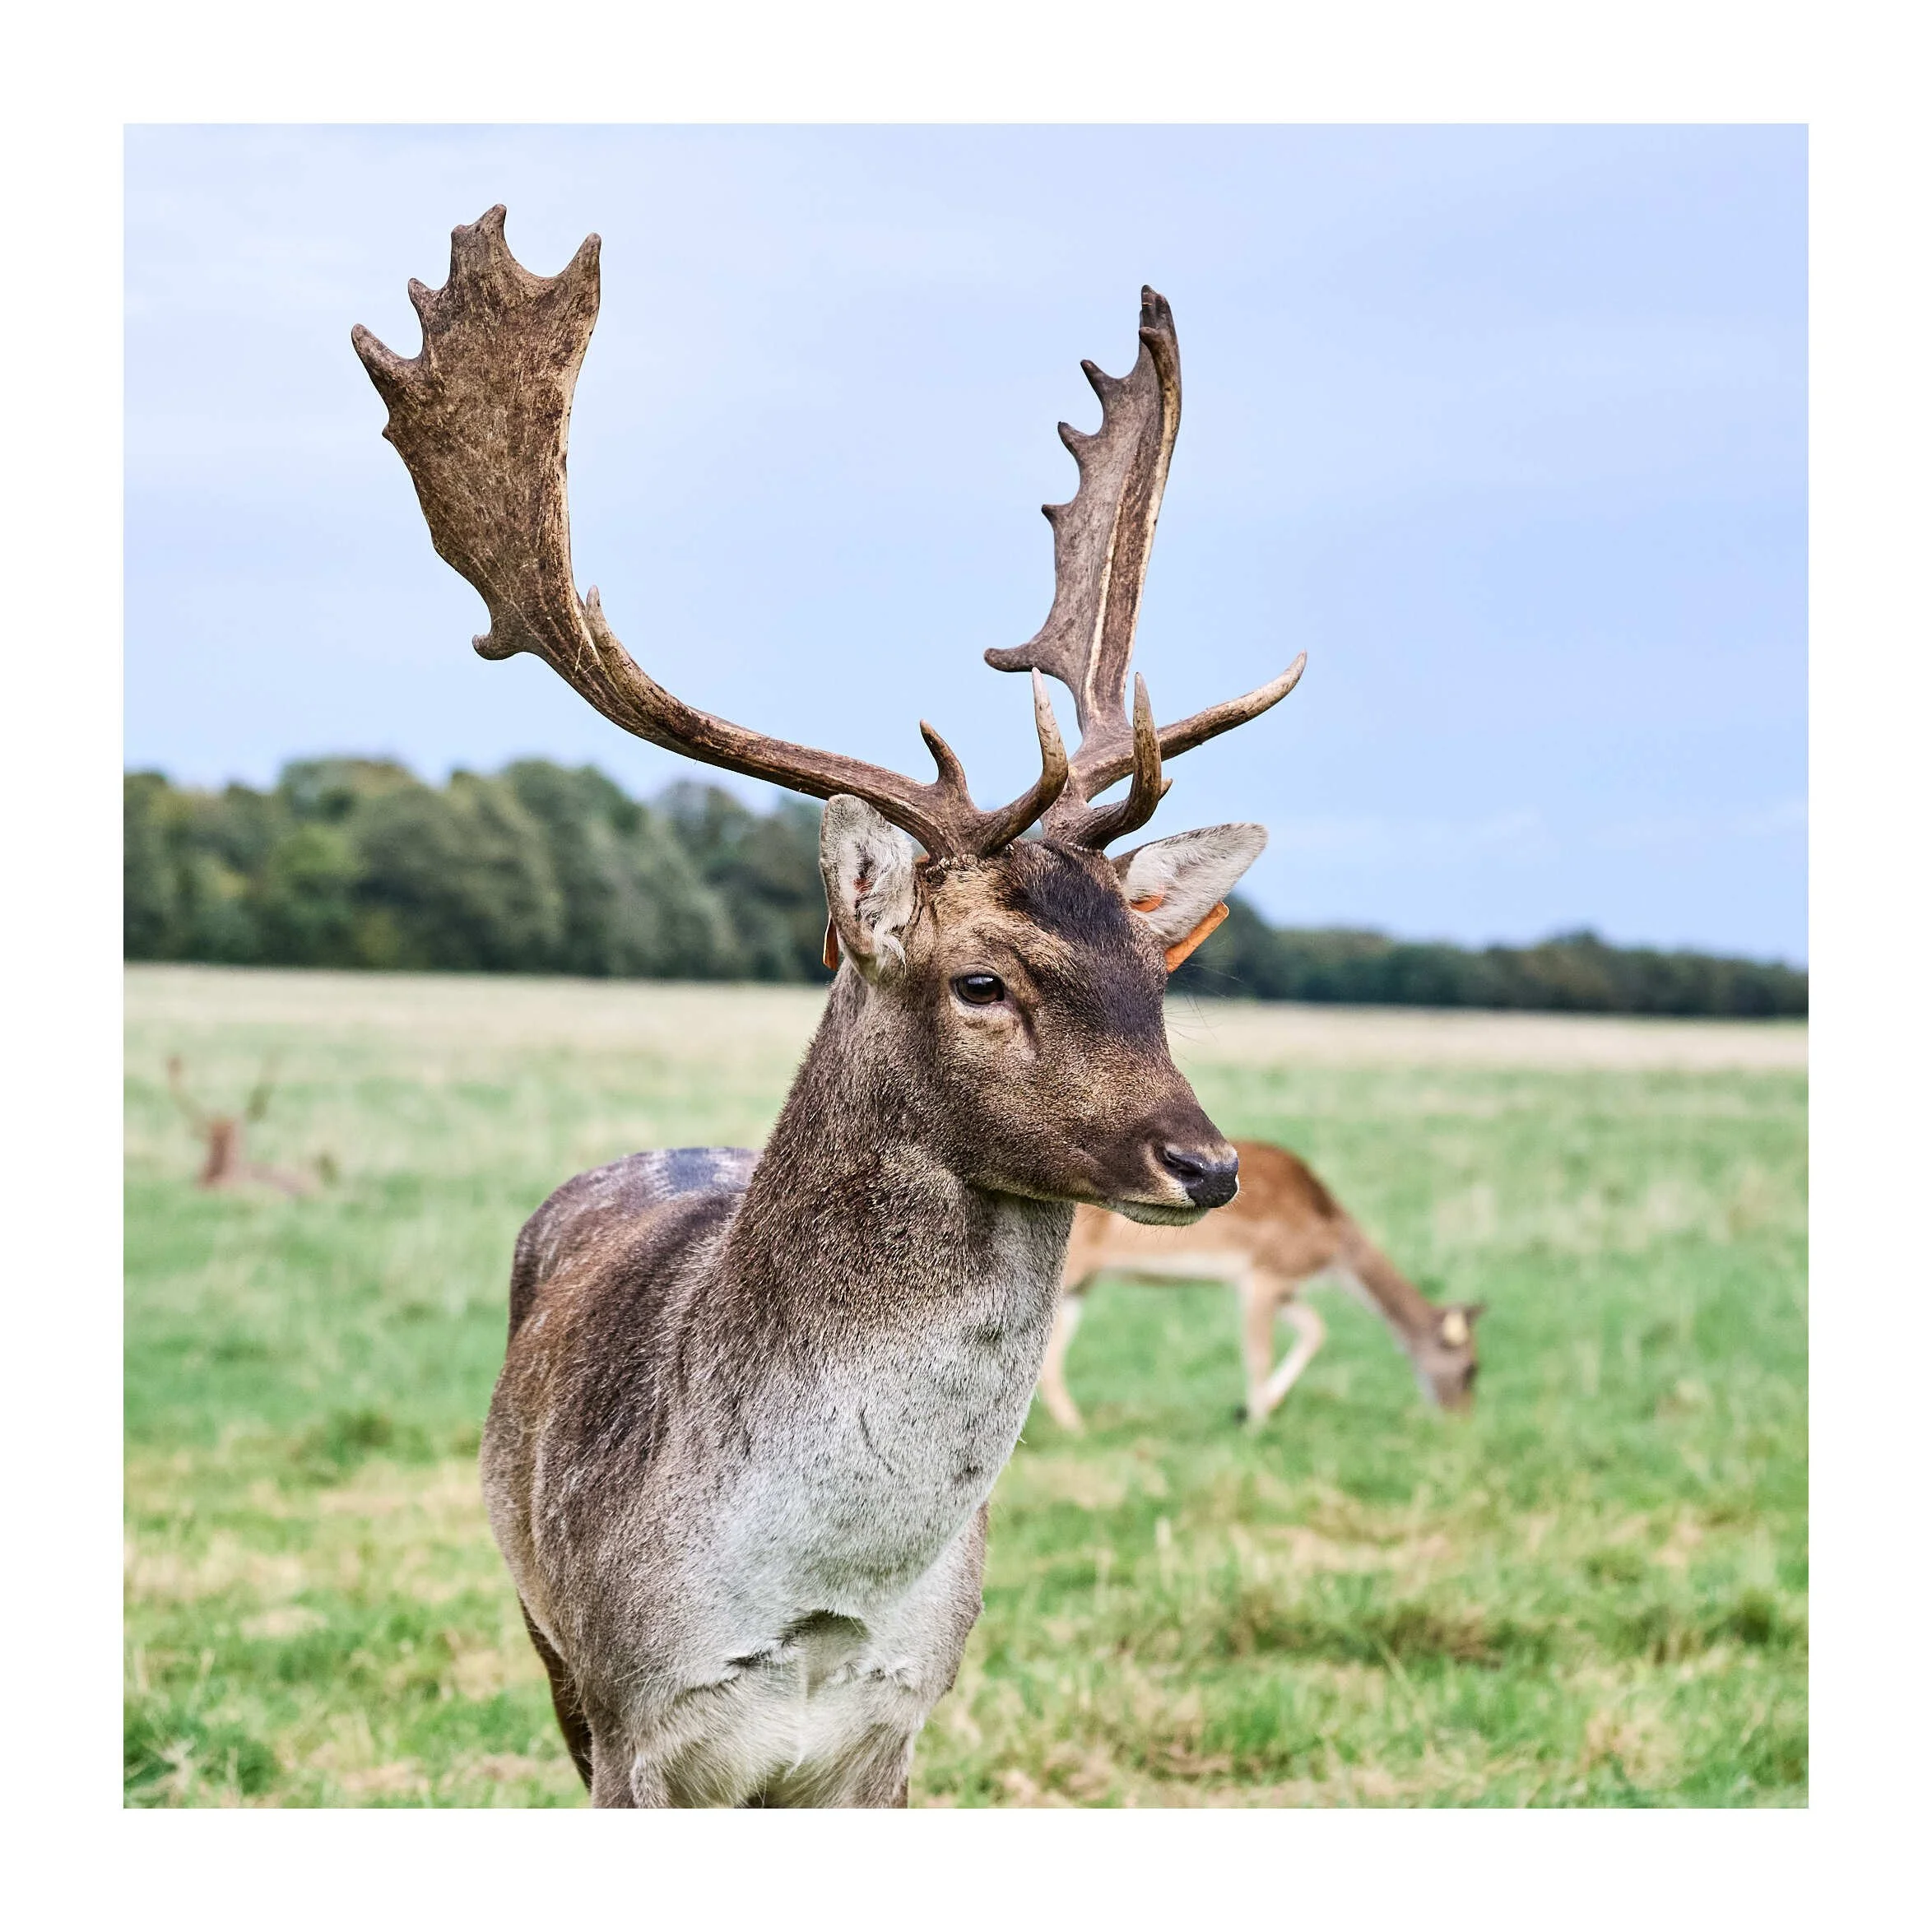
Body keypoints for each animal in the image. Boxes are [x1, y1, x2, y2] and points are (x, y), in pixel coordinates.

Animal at [353, 206, 1303, 1808]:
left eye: (1156, 971)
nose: (1205, 1162)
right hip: (543, 1639)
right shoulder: (634, 1716)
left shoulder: (897, 1723)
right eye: (981, 979)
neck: (821, 1601)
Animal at [1038, 1139, 1486, 1433]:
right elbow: (1259, 1353)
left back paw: (1076, 1427)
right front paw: (1254, 1422)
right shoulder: (1263, 1274)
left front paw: (1252, 1409)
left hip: (1080, 1285)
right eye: (1470, 1369)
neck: (1330, 1242)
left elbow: (1315, 1328)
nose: (1462, 1421)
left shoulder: (1284, 1283)